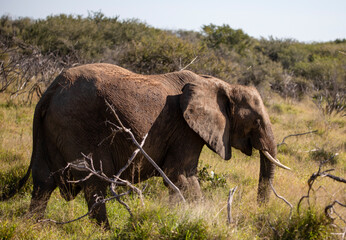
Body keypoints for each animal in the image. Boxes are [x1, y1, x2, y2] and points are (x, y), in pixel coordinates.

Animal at [2, 63, 290, 229]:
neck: (220, 84)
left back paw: (33, 227)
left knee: (43, 181)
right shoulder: (185, 129)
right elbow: (182, 175)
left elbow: (179, 178)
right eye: (256, 120)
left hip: (48, 130)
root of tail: (50, 91)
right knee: (95, 182)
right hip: (78, 125)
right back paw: (106, 232)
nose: (259, 210)